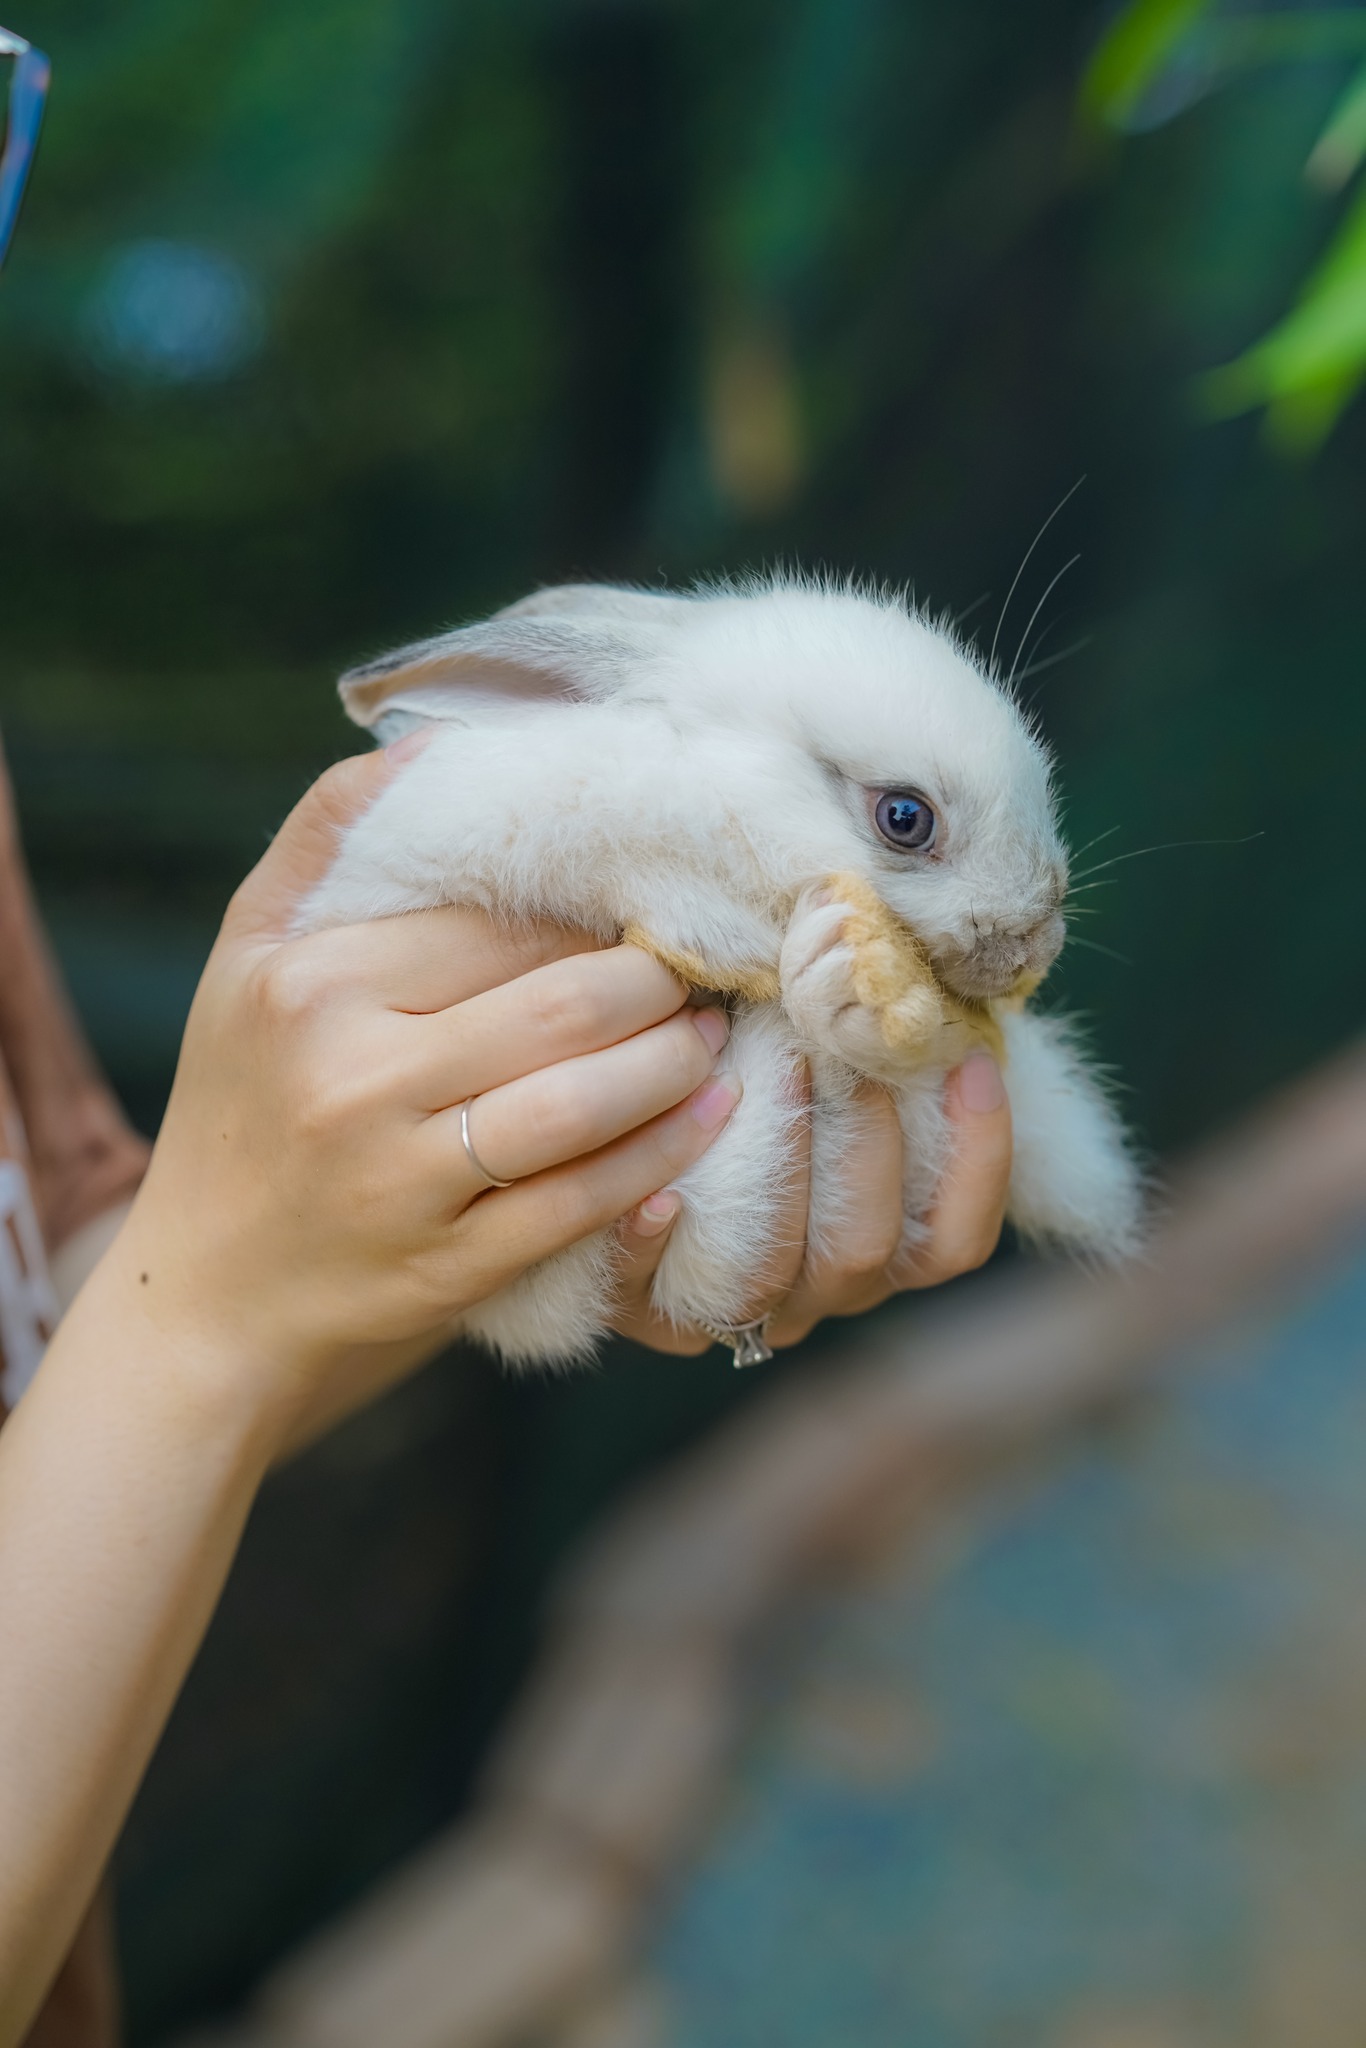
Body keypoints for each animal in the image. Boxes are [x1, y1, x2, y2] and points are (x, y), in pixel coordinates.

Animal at [301, 569, 1146, 1368]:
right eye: (905, 818)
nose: (1037, 944)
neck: (720, 794)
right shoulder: (503, 825)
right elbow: (609, 845)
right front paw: (736, 944)